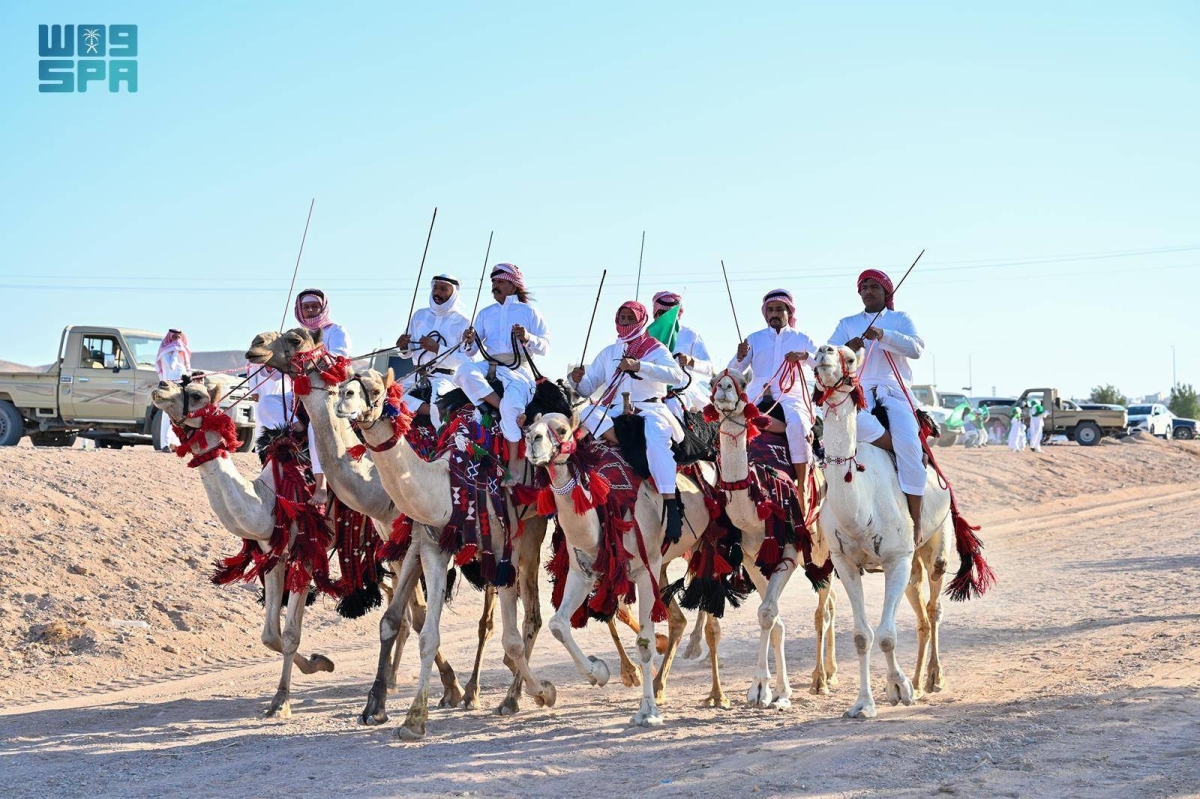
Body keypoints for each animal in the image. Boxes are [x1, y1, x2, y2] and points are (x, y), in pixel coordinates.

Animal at [150, 378, 335, 718]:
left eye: (197, 394)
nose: (161, 385)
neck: (268, 498)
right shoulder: (275, 555)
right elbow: (271, 635)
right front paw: (319, 663)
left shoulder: (306, 552)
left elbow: (291, 634)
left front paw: (281, 702)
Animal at [523, 411, 725, 726]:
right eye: (530, 427)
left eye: (563, 429)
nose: (533, 441)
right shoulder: (583, 573)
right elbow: (558, 624)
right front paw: (598, 672)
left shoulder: (643, 571)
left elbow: (644, 642)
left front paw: (648, 712)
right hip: (664, 563)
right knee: (678, 619)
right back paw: (661, 687)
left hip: (707, 542)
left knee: (711, 617)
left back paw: (717, 694)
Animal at [707, 369, 838, 706]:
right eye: (714, 381)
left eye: (740, 381)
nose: (724, 388)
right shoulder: (751, 556)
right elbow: (774, 620)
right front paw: (774, 690)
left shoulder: (788, 550)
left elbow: (768, 613)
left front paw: (763, 690)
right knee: (829, 603)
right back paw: (828, 672)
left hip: (822, 549)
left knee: (822, 610)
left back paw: (820, 679)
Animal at [812, 344, 992, 719]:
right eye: (815, 354)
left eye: (850, 358)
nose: (824, 352)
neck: (859, 505)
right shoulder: (845, 563)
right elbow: (863, 636)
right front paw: (864, 703)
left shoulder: (895, 558)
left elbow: (886, 635)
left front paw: (900, 688)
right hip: (910, 567)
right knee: (921, 612)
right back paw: (919, 679)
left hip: (935, 542)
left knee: (934, 608)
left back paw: (933, 678)